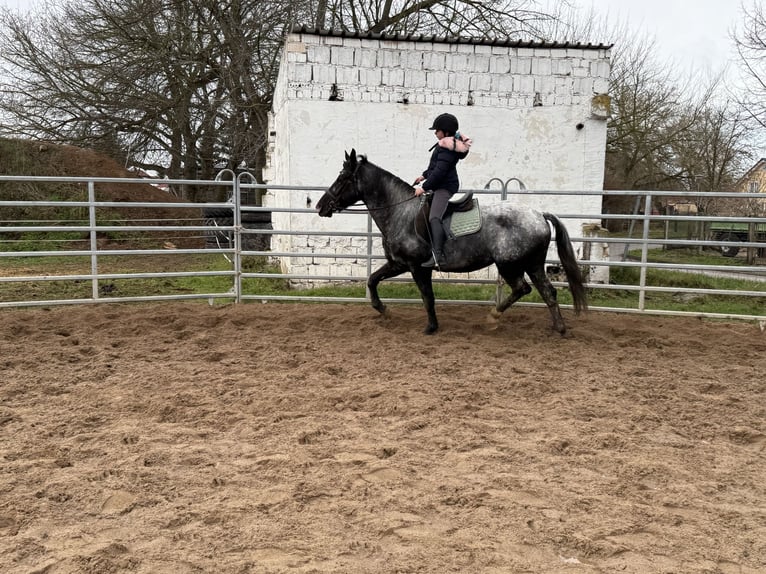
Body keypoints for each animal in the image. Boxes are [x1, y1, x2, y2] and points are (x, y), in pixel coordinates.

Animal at [316, 150, 592, 338]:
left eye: (343, 178)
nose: (320, 206)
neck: (400, 212)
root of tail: (539, 215)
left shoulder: (417, 267)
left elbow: (427, 296)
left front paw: (431, 327)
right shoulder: (397, 264)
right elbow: (372, 280)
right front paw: (383, 310)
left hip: (509, 265)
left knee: (522, 289)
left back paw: (494, 316)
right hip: (532, 264)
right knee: (548, 292)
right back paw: (558, 328)